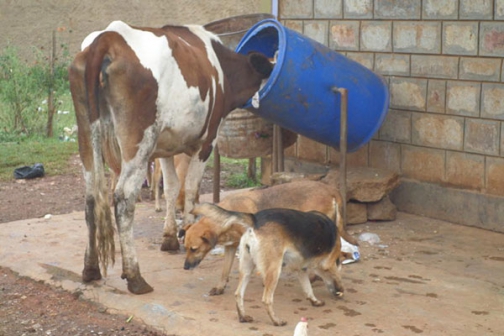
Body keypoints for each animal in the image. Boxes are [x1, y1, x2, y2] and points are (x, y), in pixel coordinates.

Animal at [68, 21, 272, 294]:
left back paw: (90, 269)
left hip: (87, 137)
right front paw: (188, 230)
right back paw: (134, 276)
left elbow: (171, 188)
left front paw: (170, 237)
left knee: (91, 197)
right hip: (138, 144)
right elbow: (191, 189)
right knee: (123, 199)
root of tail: (108, 37)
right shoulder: (206, 143)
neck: (220, 68)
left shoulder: (163, 148)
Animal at [181, 181, 358, 294]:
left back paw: (316, 277)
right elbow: (225, 270)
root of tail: (332, 189)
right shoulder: (231, 247)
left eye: (194, 249)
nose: (185, 267)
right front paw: (220, 287)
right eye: (185, 248)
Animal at [191, 202, 344, 326]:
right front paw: (340, 290)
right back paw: (276, 321)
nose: (337, 293)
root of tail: (255, 219)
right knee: (266, 299)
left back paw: (243, 317)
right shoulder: (328, 264)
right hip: (274, 270)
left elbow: (308, 288)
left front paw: (314, 300)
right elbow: (336, 276)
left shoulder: (301, 268)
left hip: (246, 269)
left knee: (238, 293)